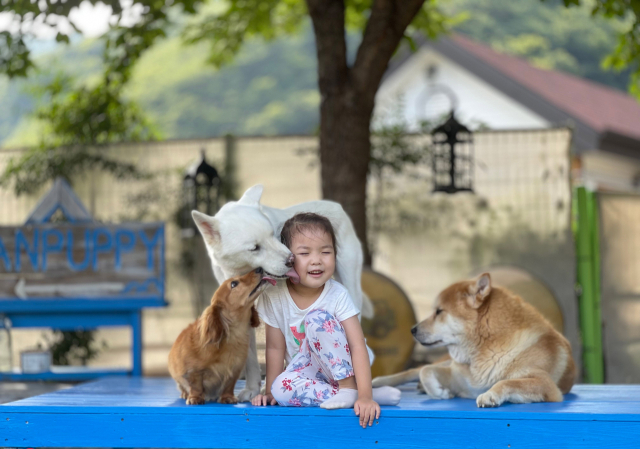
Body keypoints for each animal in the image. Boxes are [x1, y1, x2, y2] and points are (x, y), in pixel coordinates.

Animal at [169, 268, 274, 404]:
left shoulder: (234, 370)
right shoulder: (192, 371)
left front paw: (227, 397)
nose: (259, 269)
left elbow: (229, 385)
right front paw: (195, 398)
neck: (232, 336)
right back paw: (185, 394)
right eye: (234, 284)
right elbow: (196, 385)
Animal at [192, 184, 372, 400]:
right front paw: (252, 389)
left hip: (350, 287)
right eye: (254, 248)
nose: (291, 260)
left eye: (273, 235)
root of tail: (337, 206)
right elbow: (251, 358)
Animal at [370, 272, 576, 406]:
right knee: (413, 371)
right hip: (444, 362)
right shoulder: (455, 375)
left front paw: (490, 395)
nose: (412, 330)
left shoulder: (544, 383)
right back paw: (379, 381)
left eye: (439, 311)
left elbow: (506, 382)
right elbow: (425, 371)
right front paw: (440, 392)